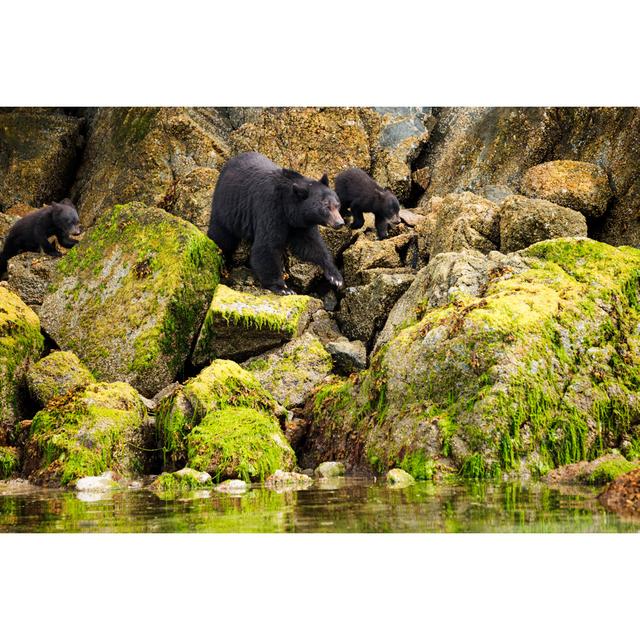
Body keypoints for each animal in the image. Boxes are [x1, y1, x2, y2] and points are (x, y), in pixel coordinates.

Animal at [208, 152, 344, 296]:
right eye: (326, 206)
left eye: (337, 204)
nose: (340, 222)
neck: (287, 205)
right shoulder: (271, 208)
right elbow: (267, 246)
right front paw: (283, 287)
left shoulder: (300, 224)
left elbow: (311, 244)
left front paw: (335, 276)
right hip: (226, 207)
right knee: (222, 237)